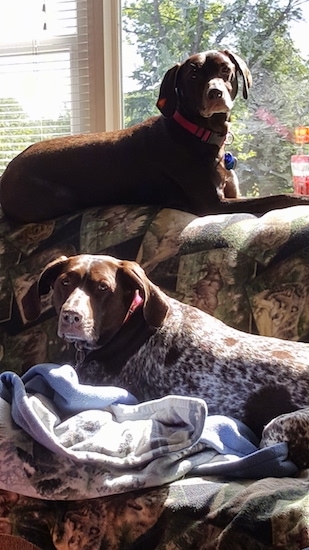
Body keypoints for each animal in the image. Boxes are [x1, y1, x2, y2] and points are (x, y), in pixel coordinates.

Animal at [1, 50, 306, 224]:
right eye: (193, 75)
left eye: (224, 70)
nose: (215, 93)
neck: (198, 133)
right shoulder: (213, 204)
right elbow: (278, 197)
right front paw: (301, 199)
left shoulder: (232, 193)